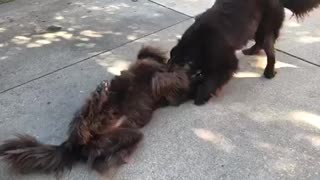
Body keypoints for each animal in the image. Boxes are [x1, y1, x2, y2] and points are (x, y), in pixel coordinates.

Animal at [0, 46, 200, 177]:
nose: (180, 63)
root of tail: (72, 146)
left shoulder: (170, 95)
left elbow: (164, 75)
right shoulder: (159, 77)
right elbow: (159, 68)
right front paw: (180, 70)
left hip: (122, 136)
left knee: (98, 159)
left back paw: (118, 155)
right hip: (88, 120)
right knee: (85, 123)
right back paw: (100, 96)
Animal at [169, 0, 320, 105]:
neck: (196, 45)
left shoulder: (224, 60)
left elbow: (211, 80)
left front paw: (201, 95)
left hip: (265, 27)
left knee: (270, 53)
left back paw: (269, 72)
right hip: (255, 27)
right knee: (259, 43)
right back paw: (251, 51)